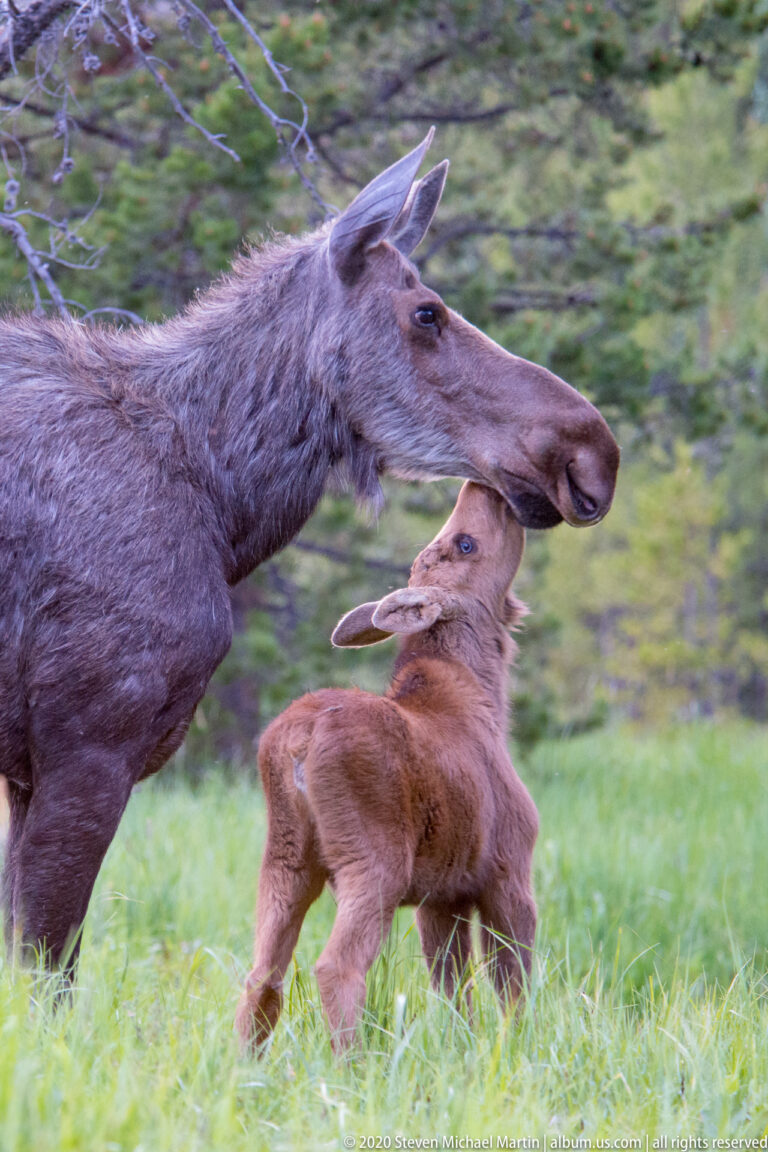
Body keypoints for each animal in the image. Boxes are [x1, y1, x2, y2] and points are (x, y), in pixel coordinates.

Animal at [0, 128, 617, 979]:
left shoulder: (27, 771)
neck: (219, 497)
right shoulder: (86, 745)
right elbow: (47, 968)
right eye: (426, 312)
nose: (592, 452)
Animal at [236, 481, 538, 1053]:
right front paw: (520, 1049)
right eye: (465, 543)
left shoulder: (442, 895)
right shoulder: (509, 867)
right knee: (335, 966)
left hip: (286, 856)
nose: (482, 486)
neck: (489, 695)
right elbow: (515, 984)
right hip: (374, 857)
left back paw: (241, 1066)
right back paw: (353, 1065)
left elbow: (454, 990)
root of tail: (296, 744)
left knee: (261, 974)